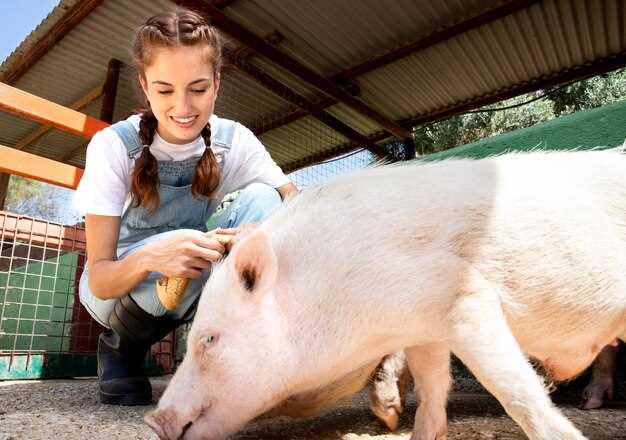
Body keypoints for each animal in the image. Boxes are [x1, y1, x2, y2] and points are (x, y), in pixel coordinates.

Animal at [144, 150, 624, 438]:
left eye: (208, 339)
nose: (153, 419)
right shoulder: (424, 326)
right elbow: (434, 383)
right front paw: (413, 430)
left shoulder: (462, 298)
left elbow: (514, 386)